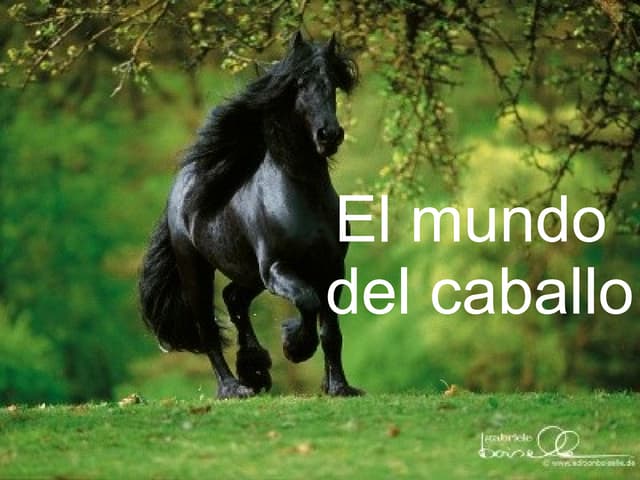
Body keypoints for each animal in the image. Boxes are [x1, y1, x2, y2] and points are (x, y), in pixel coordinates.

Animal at [139, 32, 364, 399]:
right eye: (299, 83)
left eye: (332, 83)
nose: (329, 135)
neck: (302, 196)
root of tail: (180, 189)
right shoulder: (277, 268)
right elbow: (307, 301)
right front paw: (294, 346)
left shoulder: (331, 268)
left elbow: (331, 331)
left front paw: (339, 387)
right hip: (197, 271)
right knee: (208, 330)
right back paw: (233, 387)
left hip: (247, 273)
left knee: (233, 299)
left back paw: (254, 367)